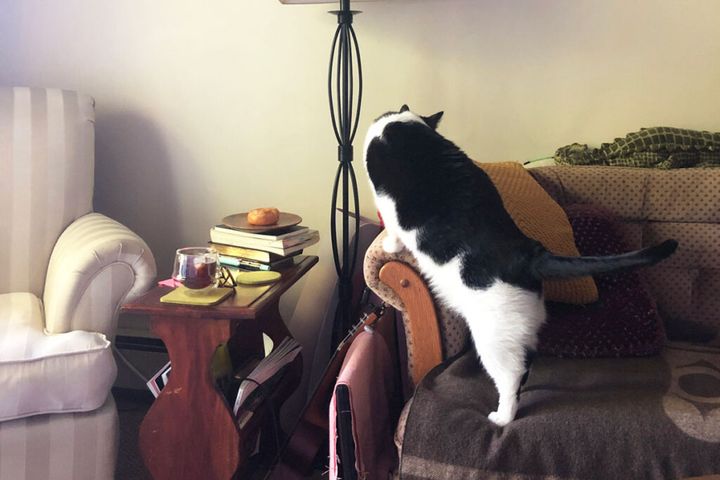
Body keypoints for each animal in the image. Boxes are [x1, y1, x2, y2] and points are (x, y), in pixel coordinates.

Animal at [363, 105, 678, 426]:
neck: (404, 124)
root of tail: (530, 255)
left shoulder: (387, 205)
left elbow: (393, 230)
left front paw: (390, 246)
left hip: (494, 339)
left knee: (512, 376)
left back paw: (502, 417)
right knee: (526, 365)